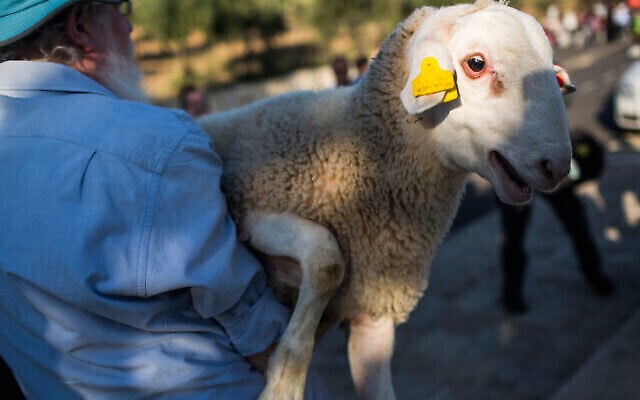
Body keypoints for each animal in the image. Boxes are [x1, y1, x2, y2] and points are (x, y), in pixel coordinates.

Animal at [198, 1, 573, 398]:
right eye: (476, 64)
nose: (556, 166)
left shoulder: (373, 315)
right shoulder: (247, 214)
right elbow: (328, 259)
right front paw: (284, 384)